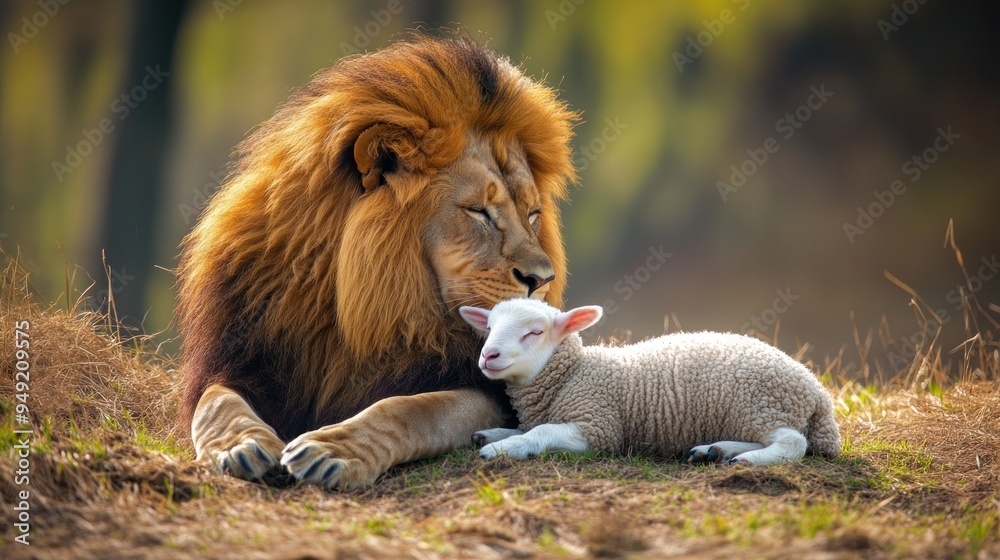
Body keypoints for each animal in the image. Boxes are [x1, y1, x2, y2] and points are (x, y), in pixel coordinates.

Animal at [176, 34, 578, 489]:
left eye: (533, 214)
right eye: (478, 212)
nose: (542, 279)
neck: (358, 310)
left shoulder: (485, 388)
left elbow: (412, 408)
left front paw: (333, 450)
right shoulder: (237, 359)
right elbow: (215, 402)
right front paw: (241, 445)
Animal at [458, 299, 840, 466]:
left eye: (535, 332)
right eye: (489, 327)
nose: (488, 356)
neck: (571, 374)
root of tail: (816, 391)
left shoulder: (598, 425)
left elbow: (540, 432)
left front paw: (501, 448)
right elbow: (526, 427)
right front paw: (494, 434)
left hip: (764, 405)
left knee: (794, 443)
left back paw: (748, 460)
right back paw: (718, 450)